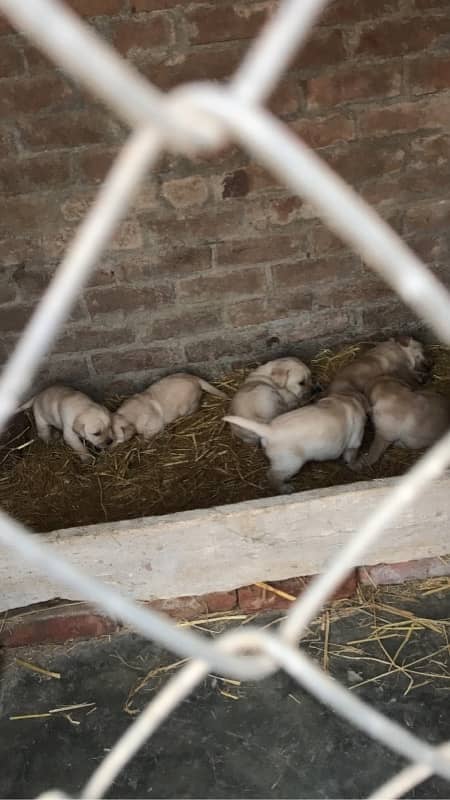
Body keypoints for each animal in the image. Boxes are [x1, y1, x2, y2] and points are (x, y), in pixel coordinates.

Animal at [225, 390, 370, 490]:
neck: (348, 399)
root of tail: (269, 430)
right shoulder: (354, 443)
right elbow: (351, 456)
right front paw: (356, 466)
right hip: (289, 463)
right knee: (273, 476)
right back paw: (285, 488)